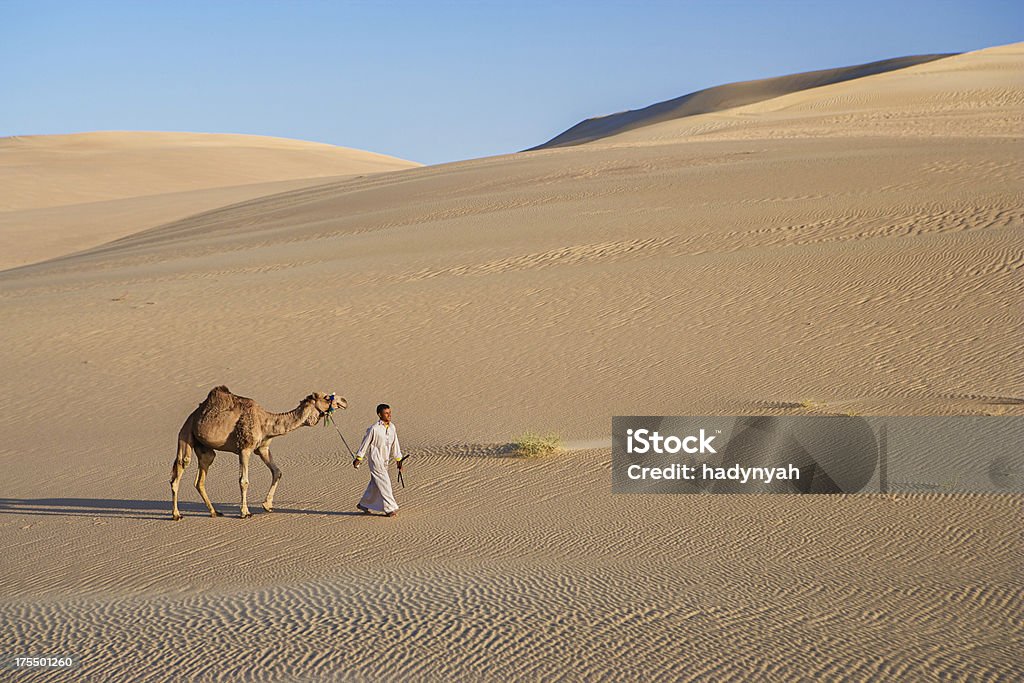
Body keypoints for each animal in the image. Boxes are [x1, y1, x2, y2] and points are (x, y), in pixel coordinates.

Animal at [172, 387, 348, 520]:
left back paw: (214, 512)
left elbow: (277, 472)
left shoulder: (262, 448)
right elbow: (244, 481)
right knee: (181, 467)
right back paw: (176, 515)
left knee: (200, 477)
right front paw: (245, 512)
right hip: (186, 433)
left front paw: (267, 505)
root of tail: (195, 413)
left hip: (204, 447)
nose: (344, 401)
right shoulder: (245, 449)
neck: (265, 423)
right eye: (327, 397)